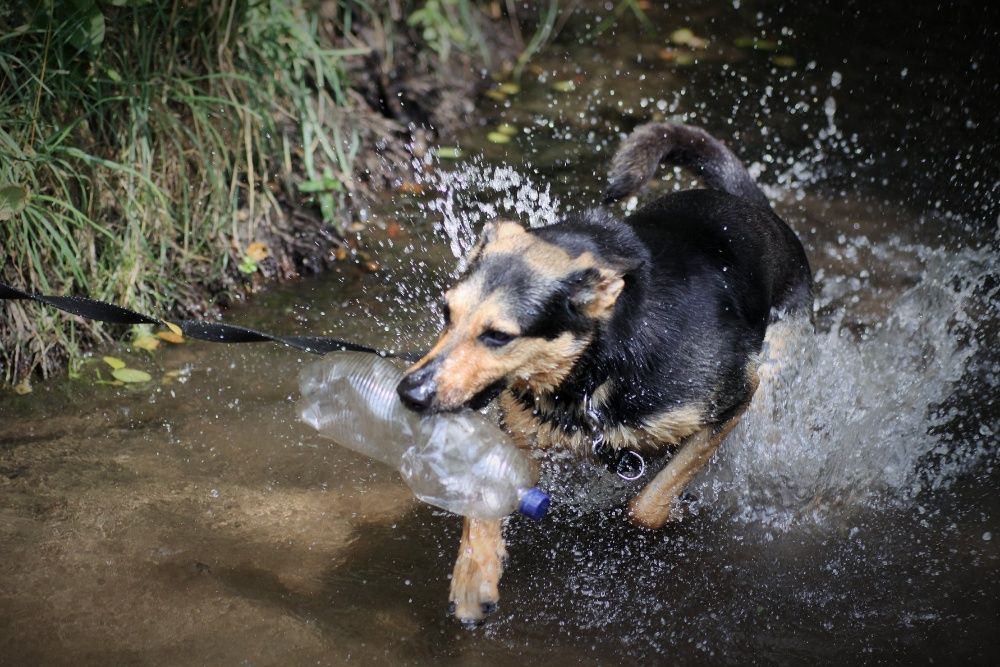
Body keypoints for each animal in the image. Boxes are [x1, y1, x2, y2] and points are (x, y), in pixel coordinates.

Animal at [394, 121, 808, 628]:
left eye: (497, 335)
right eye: (446, 312)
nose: (409, 391)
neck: (595, 365)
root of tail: (753, 206)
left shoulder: (733, 397)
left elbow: (646, 505)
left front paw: (671, 510)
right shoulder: (521, 433)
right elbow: (483, 497)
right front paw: (475, 577)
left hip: (777, 362)